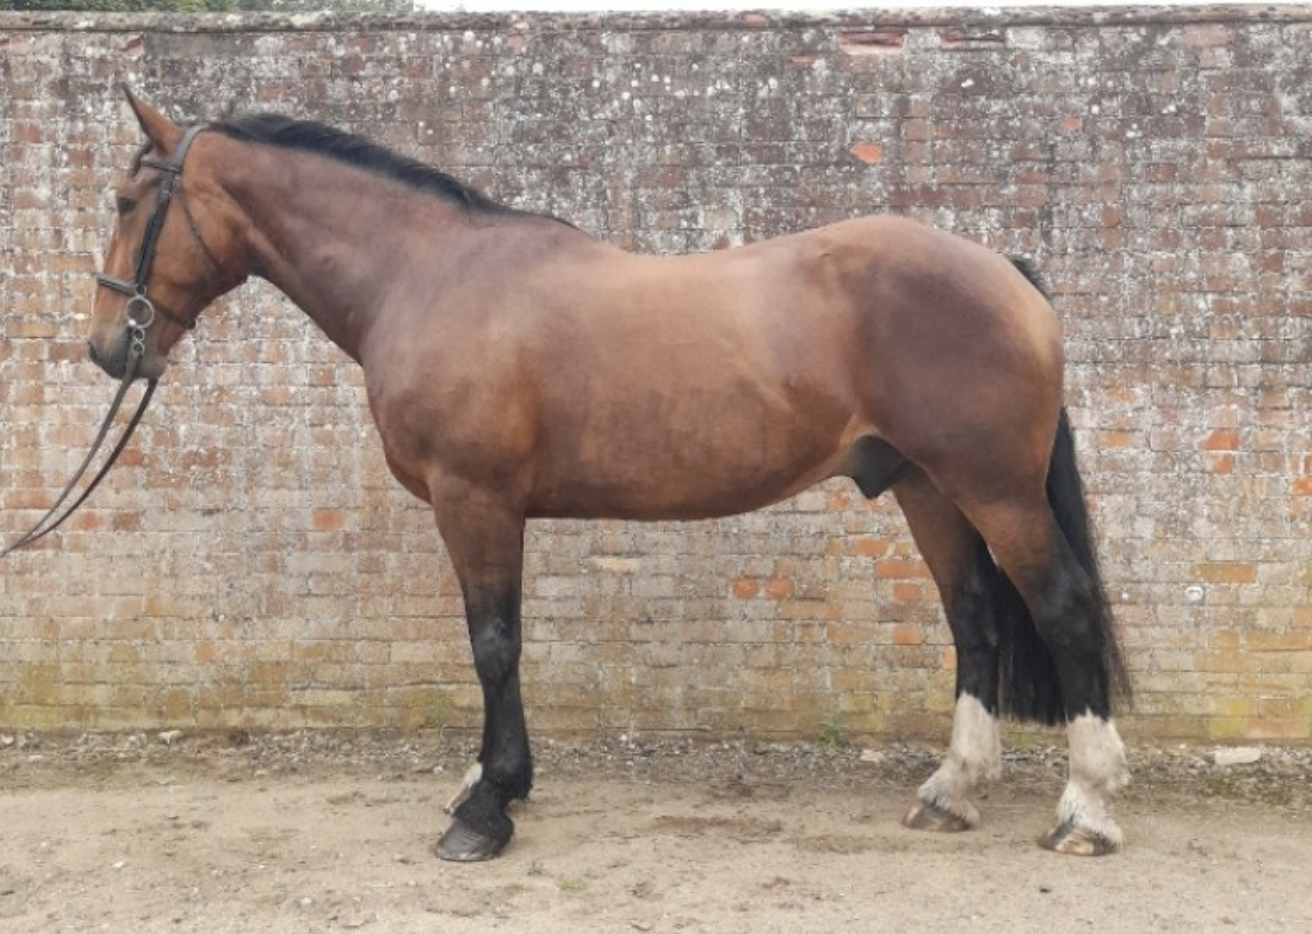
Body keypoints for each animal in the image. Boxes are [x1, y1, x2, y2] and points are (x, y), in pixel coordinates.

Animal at [83, 88, 1131, 861]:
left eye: (131, 205)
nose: (106, 348)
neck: (427, 276)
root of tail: (1004, 269)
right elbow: (499, 645)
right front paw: (490, 784)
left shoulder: (475, 501)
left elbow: (493, 645)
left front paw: (487, 809)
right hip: (926, 488)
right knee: (975, 620)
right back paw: (951, 792)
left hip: (993, 491)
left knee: (1064, 609)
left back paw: (1086, 810)